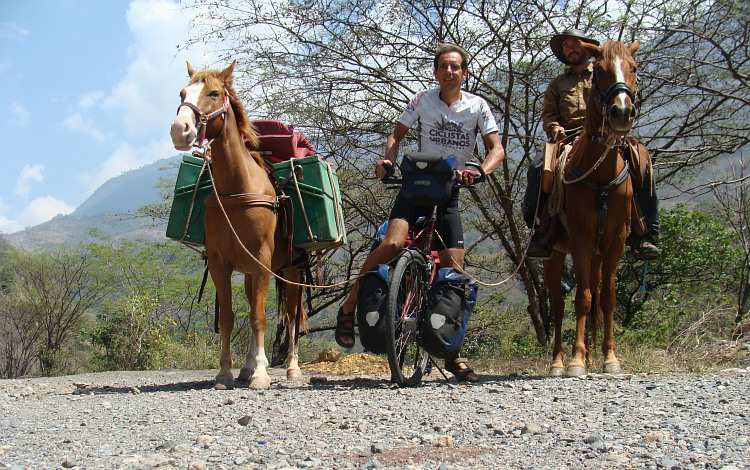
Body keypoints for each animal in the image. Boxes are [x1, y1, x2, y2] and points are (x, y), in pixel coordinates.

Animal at [170, 61, 306, 390]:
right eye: (182, 93)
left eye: (214, 93)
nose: (180, 130)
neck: (237, 188)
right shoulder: (221, 262)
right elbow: (229, 317)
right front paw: (225, 373)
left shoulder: (262, 259)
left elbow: (259, 316)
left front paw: (261, 375)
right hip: (249, 271)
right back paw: (247, 366)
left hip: (292, 268)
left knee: (293, 314)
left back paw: (291, 367)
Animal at [544, 41, 644, 378]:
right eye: (599, 69)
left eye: (634, 67)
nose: (622, 111)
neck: (600, 175)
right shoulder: (581, 239)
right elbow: (582, 298)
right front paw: (575, 361)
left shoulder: (616, 239)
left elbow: (608, 299)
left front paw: (610, 357)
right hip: (556, 253)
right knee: (558, 303)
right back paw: (559, 362)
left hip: (599, 252)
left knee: (598, 295)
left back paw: (591, 355)